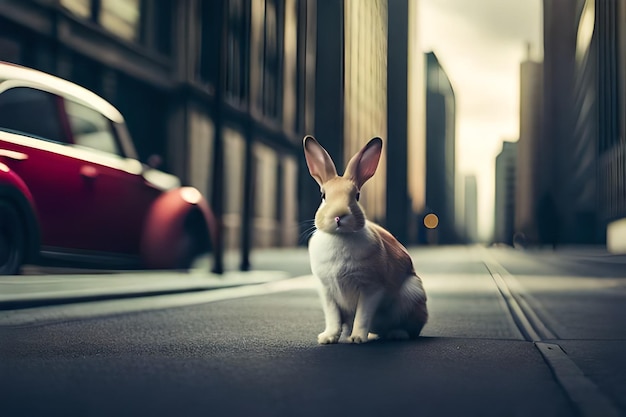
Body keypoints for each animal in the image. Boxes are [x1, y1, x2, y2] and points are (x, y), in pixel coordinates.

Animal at [302, 135, 424, 342]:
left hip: (412, 295)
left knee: (409, 329)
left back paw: (396, 334)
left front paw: (357, 338)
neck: (340, 237)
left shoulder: (371, 288)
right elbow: (333, 317)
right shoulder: (326, 290)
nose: (338, 216)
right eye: (323, 195)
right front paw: (327, 338)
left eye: (357, 196)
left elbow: (363, 315)